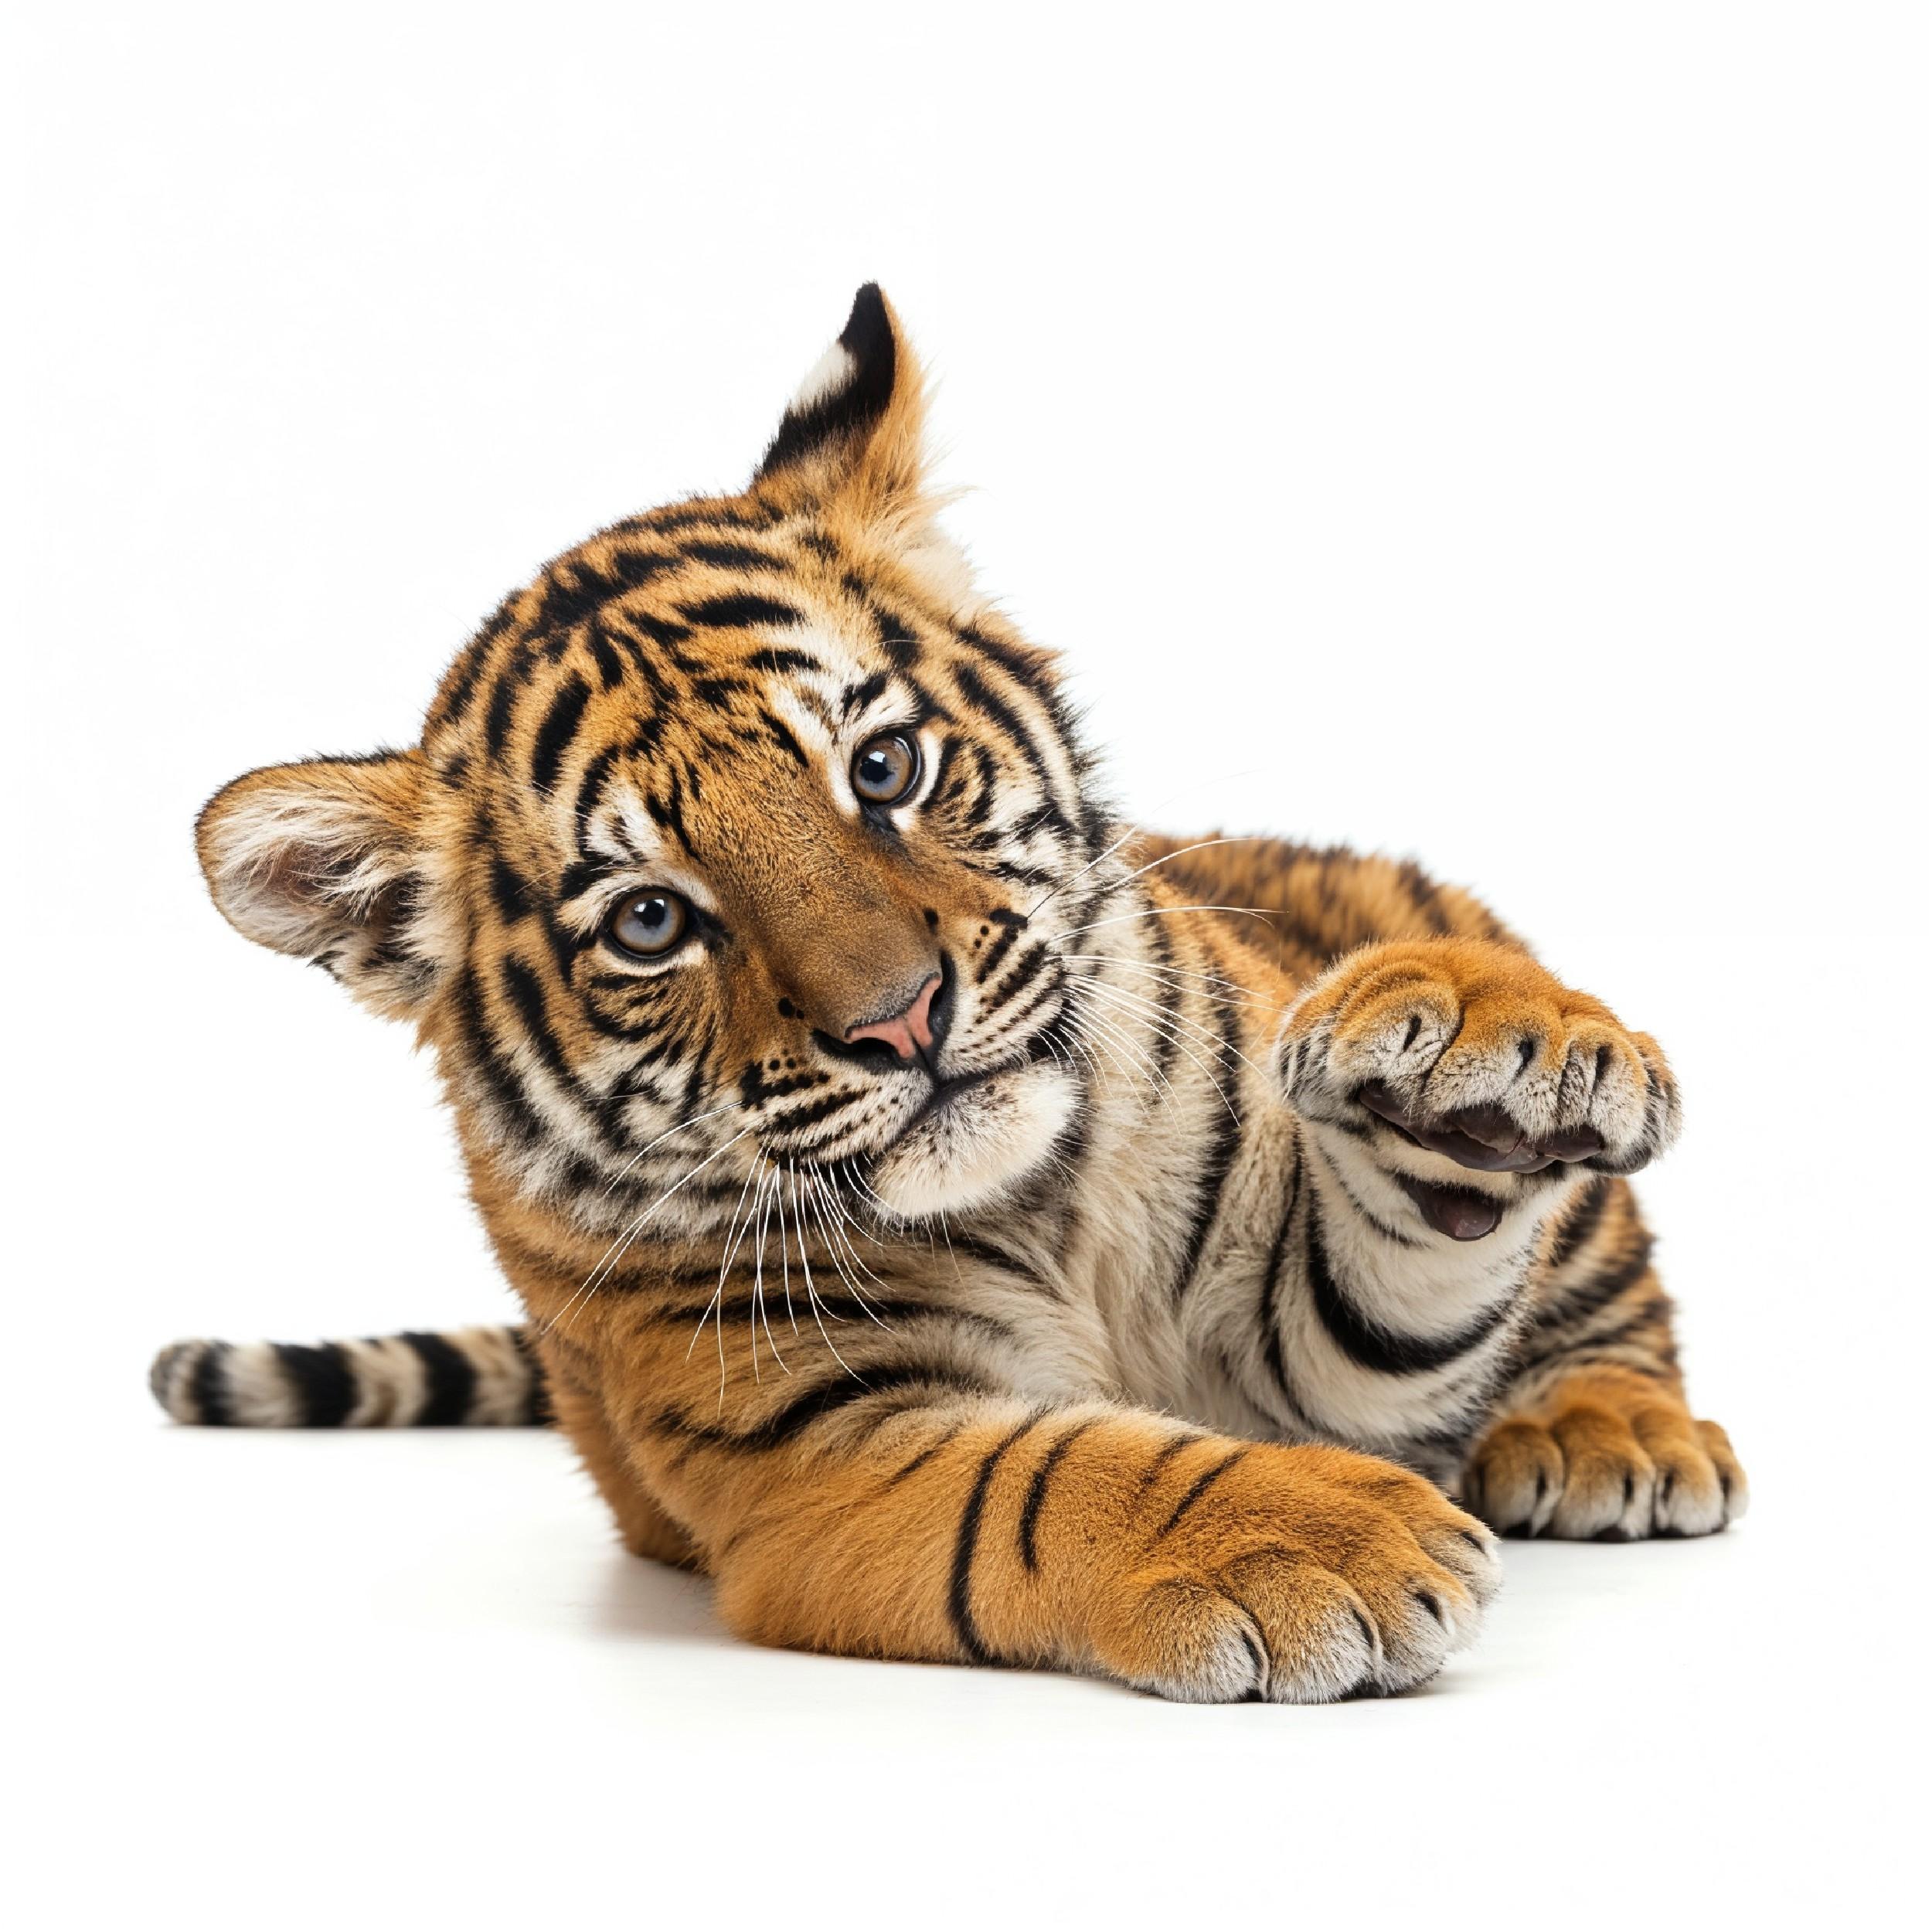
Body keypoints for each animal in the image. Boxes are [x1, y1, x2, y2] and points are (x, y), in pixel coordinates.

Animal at [152, 285, 1746, 1703]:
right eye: (653, 920)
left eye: (882, 767)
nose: (901, 1019)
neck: (1034, 1210)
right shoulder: (816, 1450)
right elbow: (1051, 1475)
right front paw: (1317, 1540)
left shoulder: (1316, 1327)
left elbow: (1411, 1268)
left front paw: (1492, 1052)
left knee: (1619, 1310)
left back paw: (1612, 1435)